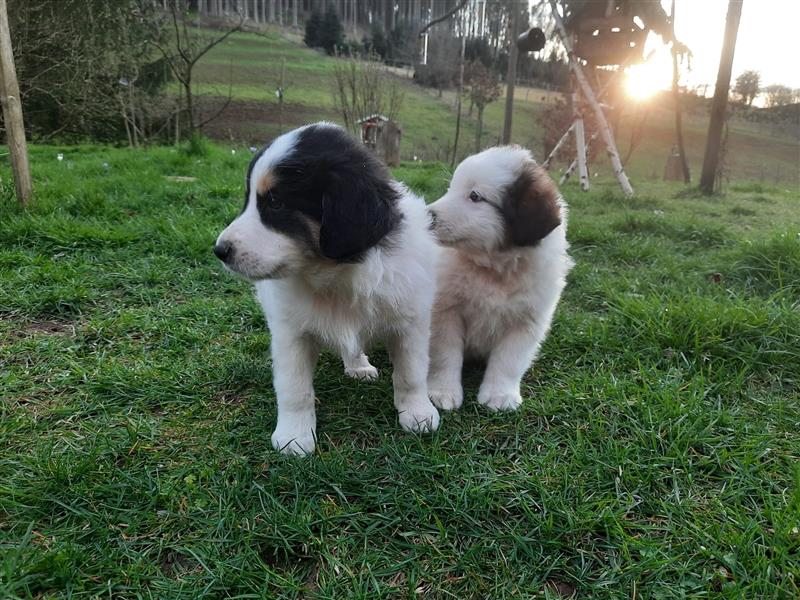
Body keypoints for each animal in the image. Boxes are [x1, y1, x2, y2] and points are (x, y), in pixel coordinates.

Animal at [216, 124, 440, 458]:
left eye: (276, 203)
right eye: (249, 200)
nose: (219, 251)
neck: (336, 275)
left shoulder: (410, 322)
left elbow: (411, 373)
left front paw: (417, 413)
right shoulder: (290, 334)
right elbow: (294, 388)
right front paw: (294, 436)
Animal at [428, 146, 572, 412]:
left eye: (475, 196)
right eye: (451, 188)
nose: (426, 215)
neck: (494, 271)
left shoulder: (527, 322)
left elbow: (509, 361)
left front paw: (500, 395)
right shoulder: (446, 312)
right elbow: (446, 355)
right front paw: (442, 392)